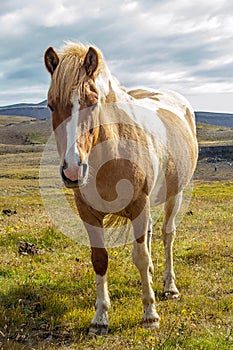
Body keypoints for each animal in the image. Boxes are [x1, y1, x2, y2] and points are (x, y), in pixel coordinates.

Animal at [43, 42, 197, 334]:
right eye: (50, 105)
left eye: (93, 103)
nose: (72, 169)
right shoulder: (88, 213)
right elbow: (100, 259)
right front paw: (100, 318)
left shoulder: (139, 205)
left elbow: (140, 256)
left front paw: (150, 314)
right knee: (149, 234)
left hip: (176, 195)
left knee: (167, 235)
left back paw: (169, 286)